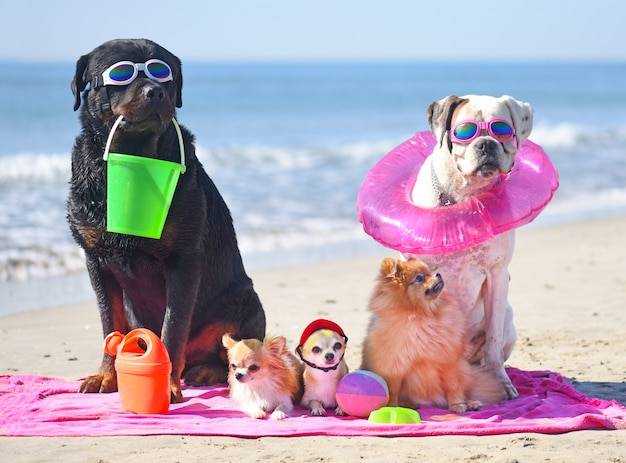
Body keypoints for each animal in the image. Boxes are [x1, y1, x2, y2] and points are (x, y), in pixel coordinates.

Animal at [69, 39, 264, 402]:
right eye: (121, 72)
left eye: (164, 72)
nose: (155, 91)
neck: (135, 158)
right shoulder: (95, 259)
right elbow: (110, 323)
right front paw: (106, 376)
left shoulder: (184, 258)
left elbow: (173, 326)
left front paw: (167, 385)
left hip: (246, 301)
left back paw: (205, 371)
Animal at [358, 260, 504, 416]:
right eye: (419, 278)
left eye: (429, 272)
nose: (438, 274)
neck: (422, 314)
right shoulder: (394, 366)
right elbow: (393, 390)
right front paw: (392, 408)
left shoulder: (448, 361)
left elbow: (453, 386)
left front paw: (457, 404)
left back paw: (470, 403)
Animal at [404, 94, 532, 398]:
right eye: (465, 131)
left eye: (502, 130)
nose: (486, 144)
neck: (463, 196)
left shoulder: (497, 275)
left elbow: (493, 342)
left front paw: (500, 383)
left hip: (508, 320)